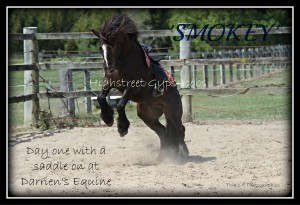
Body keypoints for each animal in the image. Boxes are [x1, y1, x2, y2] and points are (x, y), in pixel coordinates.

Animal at [92, 15, 189, 160]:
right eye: (100, 48)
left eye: (113, 45)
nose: (108, 69)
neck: (125, 61)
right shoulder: (109, 81)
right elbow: (101, 96)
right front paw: (107, 118)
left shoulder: (133, 86)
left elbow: (120, 104)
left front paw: (122, 128)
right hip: (147, 115)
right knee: (163, 132)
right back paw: (161, 157)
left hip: (173, 111)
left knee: (180, 129)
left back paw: (183, 153)